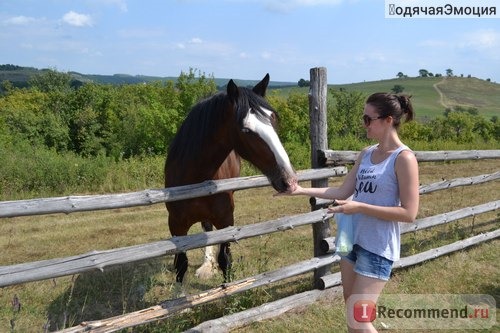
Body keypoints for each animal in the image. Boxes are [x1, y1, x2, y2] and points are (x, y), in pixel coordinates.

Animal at [164, 74, 296, 282]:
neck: (195, 178)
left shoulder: (226, 222)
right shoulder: (177, 227)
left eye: (273, 119)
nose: (289, 179)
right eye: (246, 130)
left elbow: (225, 260)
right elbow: (181, 266)